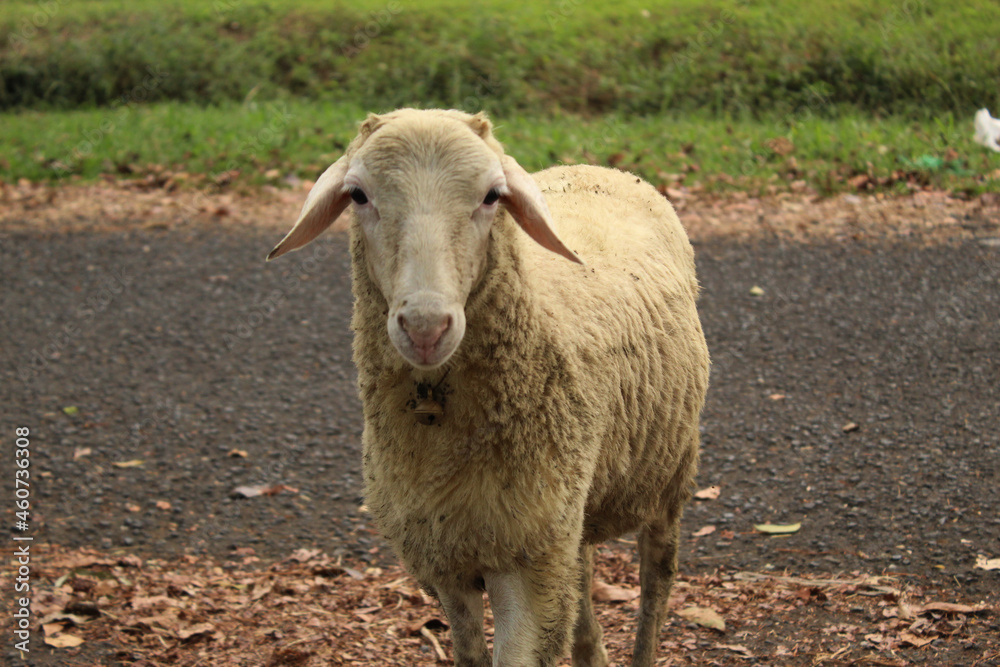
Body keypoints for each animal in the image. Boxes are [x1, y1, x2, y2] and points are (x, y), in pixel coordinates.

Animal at [267, 108, 710, 667]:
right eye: (358, 195)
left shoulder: (525, 568)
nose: (426, 327)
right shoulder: (448, 560)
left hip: (668, 475)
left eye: (492, 196)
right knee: (582, 579)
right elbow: (471, 653)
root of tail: (598, 166)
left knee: (656, 584)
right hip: (569, 508)